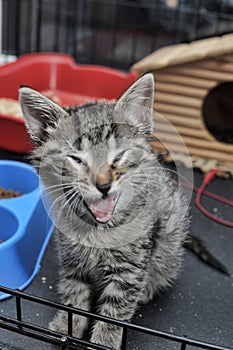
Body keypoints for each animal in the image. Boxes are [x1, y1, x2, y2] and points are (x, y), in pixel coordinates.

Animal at [19, 74, 188, 350]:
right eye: (76, 159)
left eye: (118, 155)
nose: (103, 184)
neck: (96, 229)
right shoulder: (71, 259)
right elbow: (74, 293)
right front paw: (68, 324)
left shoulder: (129, 270)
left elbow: (115, 311)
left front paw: (103, 341)